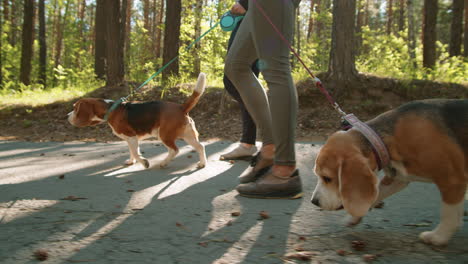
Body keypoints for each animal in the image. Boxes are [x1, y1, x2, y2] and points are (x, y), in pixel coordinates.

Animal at [68, 71, 207, 169]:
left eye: (75, 108)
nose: (67, 116)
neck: (111, 109)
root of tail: (181, 107)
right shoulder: (131, 139)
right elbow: (132, 151)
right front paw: (131, 161)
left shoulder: (131, 136)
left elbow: (135, 152)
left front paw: (144, 162)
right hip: (188, 135)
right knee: (200, 147)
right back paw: (202, 163)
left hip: (164, 135)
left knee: (174, 150)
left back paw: (163, 163)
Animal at [310, 98, 468, 245]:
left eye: (327, 178)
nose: (314, 202)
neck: (386, 139)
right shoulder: (397, 178)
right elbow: (377, 193)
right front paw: (353, 217)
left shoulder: (453, 180)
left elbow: (449, 213)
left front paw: (439, 237)